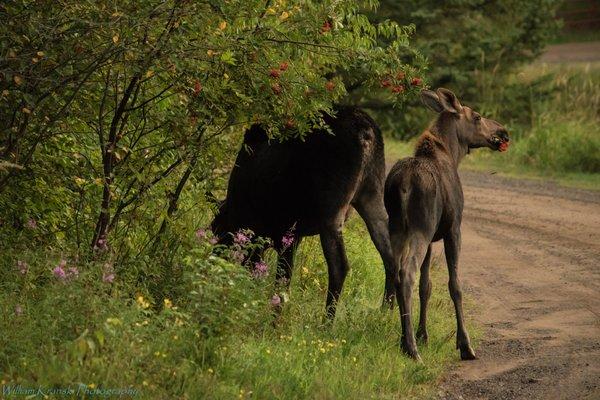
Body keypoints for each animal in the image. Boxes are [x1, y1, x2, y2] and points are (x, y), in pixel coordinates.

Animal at [212, 106, 398, 318]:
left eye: (216, 232)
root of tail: (367, 132)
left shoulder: (281, 231)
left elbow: (281, 278)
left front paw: (273, 317)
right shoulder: (293, 235)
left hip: (331, 211)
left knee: (339, 266)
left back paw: (327, 320)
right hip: (372, 196)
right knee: (390, 257)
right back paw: (384, 314)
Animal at [384, 88, 510, 362]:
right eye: (477, 116)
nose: (503, 131)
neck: (452, 153)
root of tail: (403, 185)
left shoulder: (432, 237)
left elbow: (427, 286)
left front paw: (424, 334)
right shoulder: (453, 229)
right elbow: (455, 286)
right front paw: (465, 344)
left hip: (397, 227)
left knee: (394, 273)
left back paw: (404, 340)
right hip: (419, 228)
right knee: (406, 274)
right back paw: (412, 350)